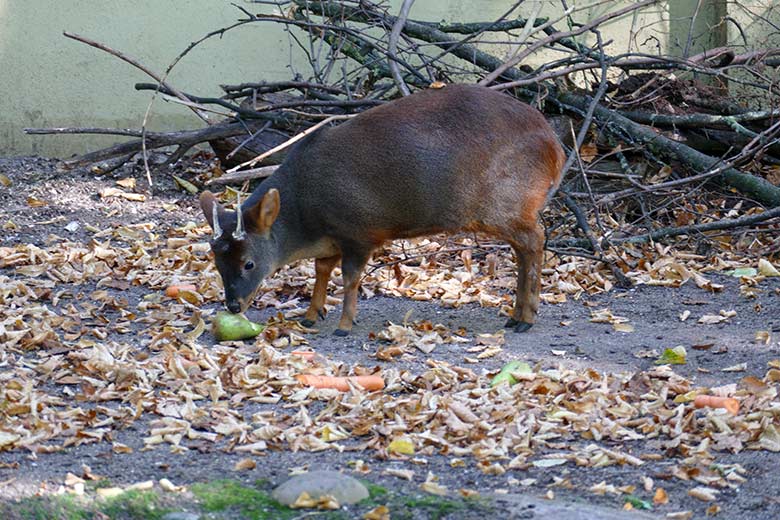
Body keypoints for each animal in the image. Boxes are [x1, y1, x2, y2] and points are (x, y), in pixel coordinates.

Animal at [200, 84, 568, 338]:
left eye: (249, 263)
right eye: (216, 260)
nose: (233, 305)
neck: (308, 215)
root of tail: (557, 149)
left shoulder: (358, 230)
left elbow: (349, 278)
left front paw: (345, 324)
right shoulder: (333, 240)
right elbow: (322, 270)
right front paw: (311, 314)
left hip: (507, 202)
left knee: (535, 239)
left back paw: (527, 317)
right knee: (524, 248)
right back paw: (516, 315)